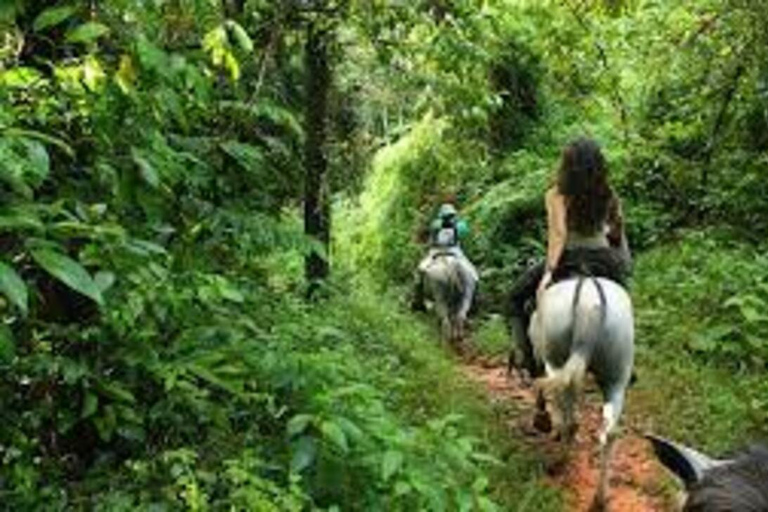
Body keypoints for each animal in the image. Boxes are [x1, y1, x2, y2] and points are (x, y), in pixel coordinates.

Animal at [532, 276, 632, 508]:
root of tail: (590, 302)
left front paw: (545, 421)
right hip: (617, 376)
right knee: (610, 433)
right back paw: (600, 499)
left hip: (557, 362)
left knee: (571, 419)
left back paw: (559, 463)